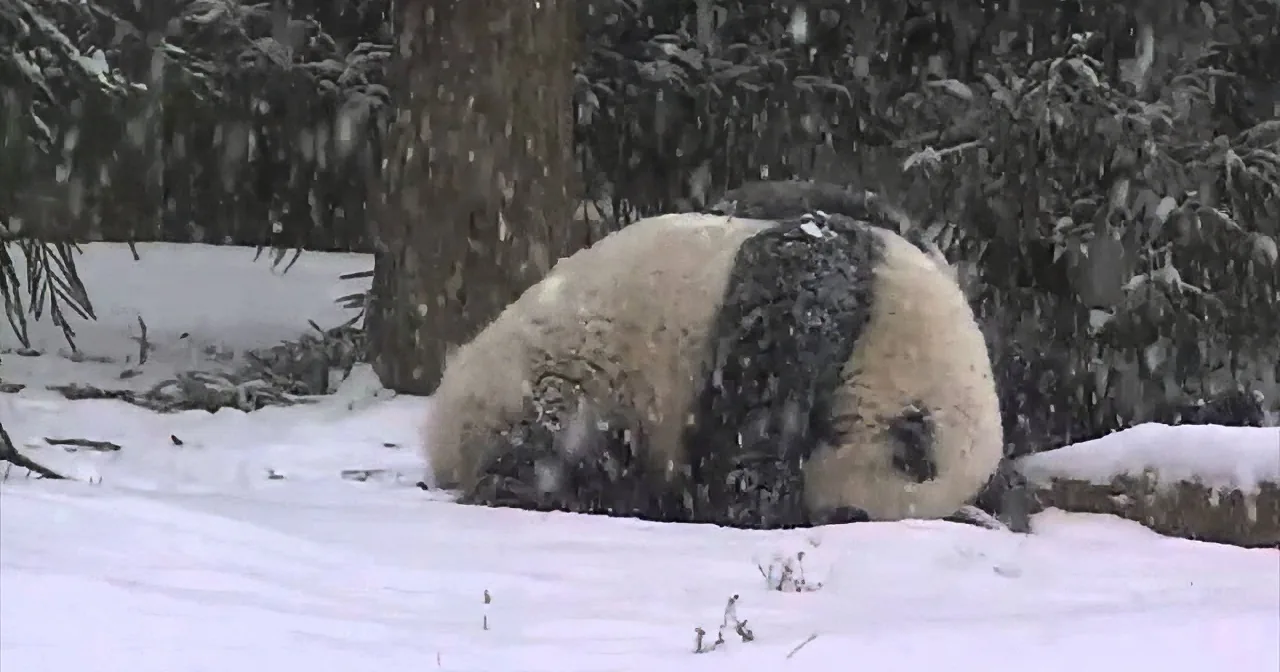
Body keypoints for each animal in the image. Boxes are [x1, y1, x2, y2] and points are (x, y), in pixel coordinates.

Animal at [422, 182, 1003, 529]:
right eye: (850, 515)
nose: (823, 512)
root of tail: (441, 440)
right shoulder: (820, 290)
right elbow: (748, 439)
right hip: (553, 375)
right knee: (553, 441)